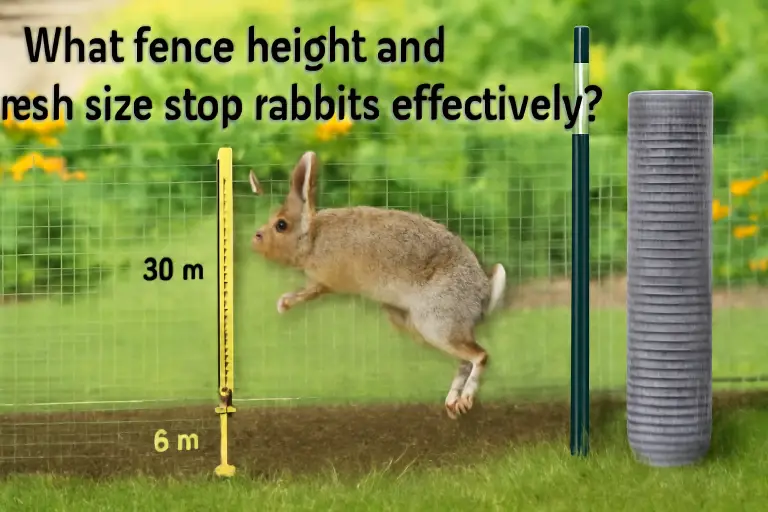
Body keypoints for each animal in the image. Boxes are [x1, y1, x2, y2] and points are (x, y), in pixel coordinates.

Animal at [249, 151, 507, 419]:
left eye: (281, 225)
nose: (255, 239)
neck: (312, 238)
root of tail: (482, 295)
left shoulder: (325, 281)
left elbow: (310, 291)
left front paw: (283, 304)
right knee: (465, 360)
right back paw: (452, 402)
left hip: (436, 323)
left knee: (480, 355)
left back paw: (465, 399)